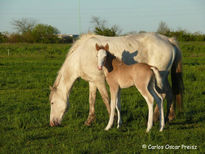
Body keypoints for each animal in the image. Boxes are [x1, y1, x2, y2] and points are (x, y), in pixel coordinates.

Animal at [48, 32, 183, 126]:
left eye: (52, 102)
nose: (52, 123)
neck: (81, 56)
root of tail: (169, 40)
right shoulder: (92, 81)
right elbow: (92, 100)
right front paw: (89, 121)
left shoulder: (100, 81)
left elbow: (107, 99)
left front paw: (114, 120)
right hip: (161, 77)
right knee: (169, 93)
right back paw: (168, 117)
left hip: (160, 77)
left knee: (163, 95)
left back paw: (155, 119)